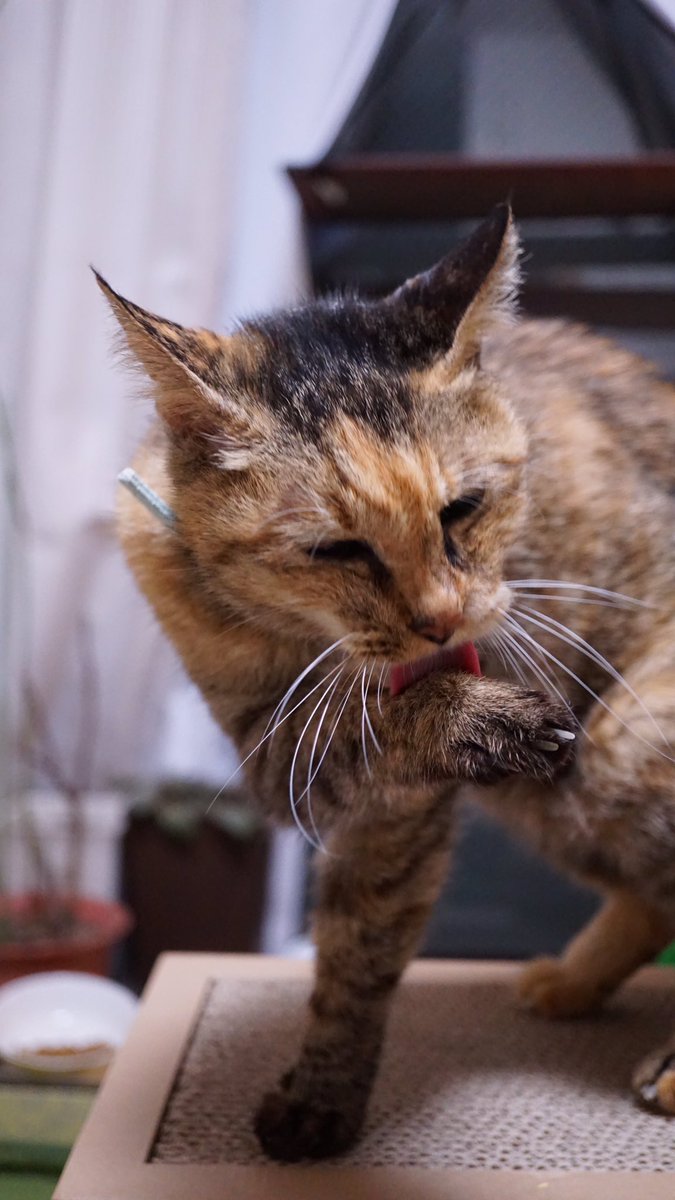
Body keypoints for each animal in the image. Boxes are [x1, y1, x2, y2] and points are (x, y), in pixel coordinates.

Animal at [97, 208, 672, 1161]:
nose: (443, 621)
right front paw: (319, 1099)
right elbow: (352, 942)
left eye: (462, 507)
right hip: (565, 786)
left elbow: (362, 942)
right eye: (336, 548)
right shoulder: (286, 754)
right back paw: (567, 982)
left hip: (624, 742)